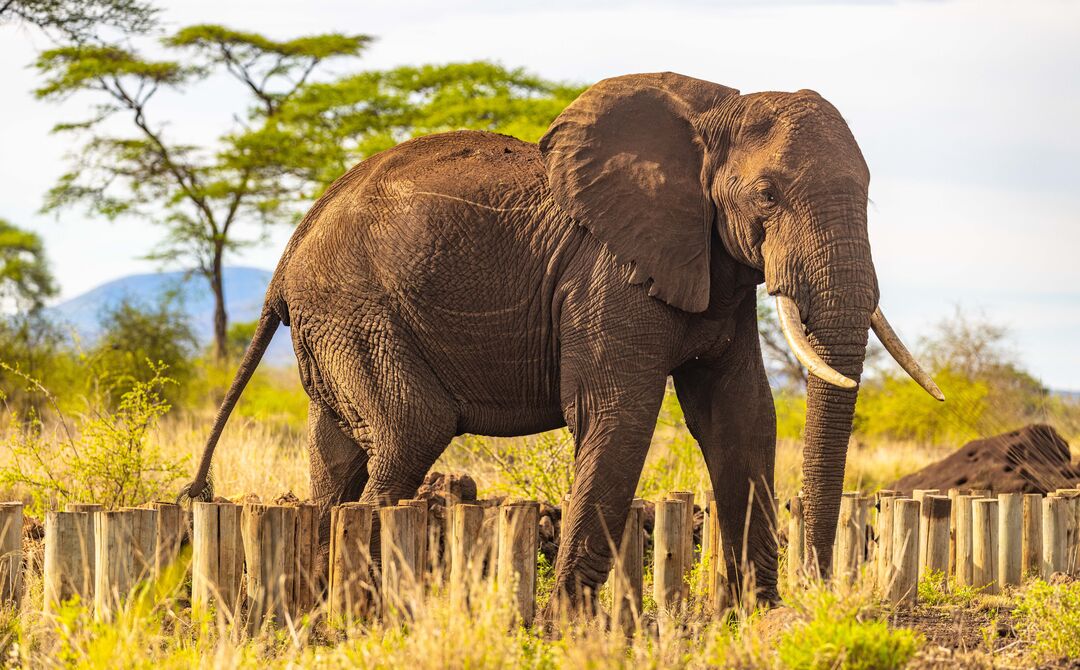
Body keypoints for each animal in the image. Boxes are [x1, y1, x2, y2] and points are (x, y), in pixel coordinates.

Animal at [181, 70, 941, 609]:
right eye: (767, 196)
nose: (825, 589)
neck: (715, 110)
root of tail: (287, 255)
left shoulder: (714, 269)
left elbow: (742, 418)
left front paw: (763, 616)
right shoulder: (608, 270)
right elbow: (618, 413)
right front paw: (568, 624)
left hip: (334, 321)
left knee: (337, 453)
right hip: (355, 306)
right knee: (406, 434)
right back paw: (363, 606)